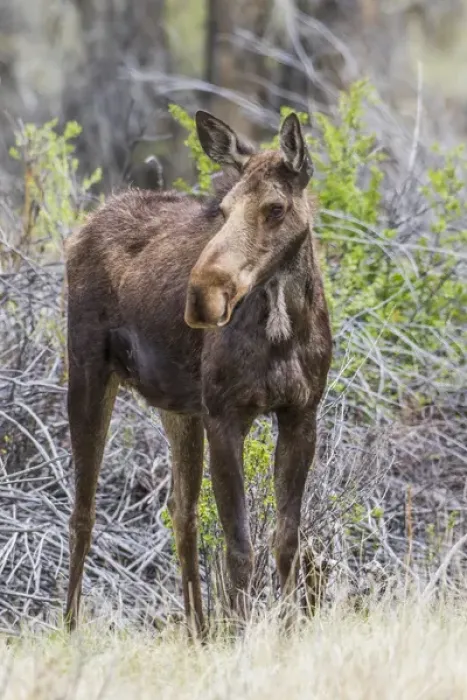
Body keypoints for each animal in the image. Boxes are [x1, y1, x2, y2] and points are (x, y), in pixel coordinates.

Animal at [64, 109, 332, 637]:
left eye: (274, 208)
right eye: (223, 210)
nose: (202, 296)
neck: (283, 329)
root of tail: (83, 226)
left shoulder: (301, 413)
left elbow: (286, 540)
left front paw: (289, 631)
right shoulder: (225, 415)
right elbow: (239, 545)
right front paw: (240, 634)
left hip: (178, 407)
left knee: (180, 511)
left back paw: (198, 632)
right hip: (86, 370)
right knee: (83, 509)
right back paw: (69, 629)